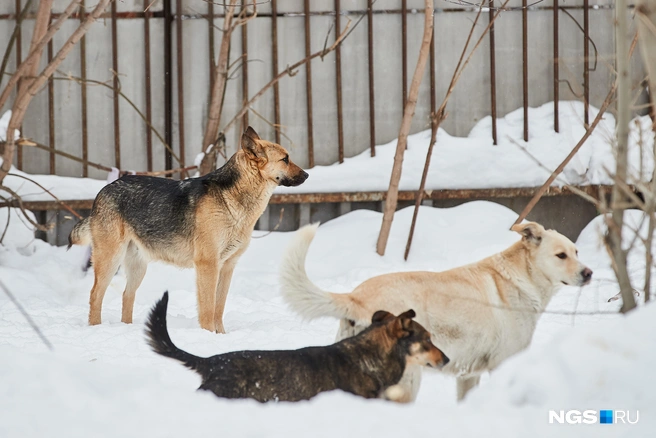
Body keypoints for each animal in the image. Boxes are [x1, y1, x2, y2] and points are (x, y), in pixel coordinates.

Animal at [68, 126, 308, 332]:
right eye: (285, 159)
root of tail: (103, 191)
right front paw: (208, 337)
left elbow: (219, 308)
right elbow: (208, 310)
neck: (232, 198)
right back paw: (96, 328)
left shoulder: (227, 267)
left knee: (127, 295)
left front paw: (221, 337)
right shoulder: (207, 265)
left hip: (137, 267)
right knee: (95, 294)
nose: (306, 175)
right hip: (110, 259)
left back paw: (127, 329)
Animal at [280, 221, 592, 402]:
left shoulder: (468, 376)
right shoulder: (504, 363)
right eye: (561, 255)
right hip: (408, 380)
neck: (522, 276)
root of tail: (355, 296)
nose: (588, 273)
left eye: (577, 252)